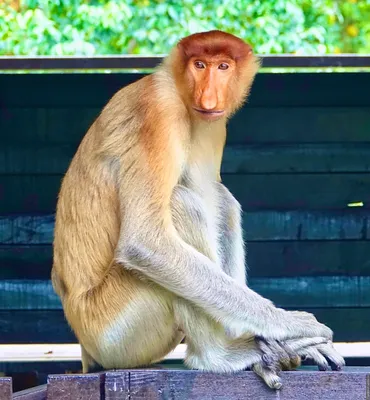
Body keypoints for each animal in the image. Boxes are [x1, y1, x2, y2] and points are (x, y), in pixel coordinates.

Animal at [51, 28, 344, 390]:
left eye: (223, 66)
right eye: (199, 65)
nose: (208, 98)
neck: (177, 89)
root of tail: (86, 350)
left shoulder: (214, 126)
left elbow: (213, 198)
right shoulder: (158, 111)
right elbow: (144, 242)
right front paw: (293, 326)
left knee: (220, 201)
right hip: (115, 330)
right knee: (180, 206)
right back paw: (218, 356)